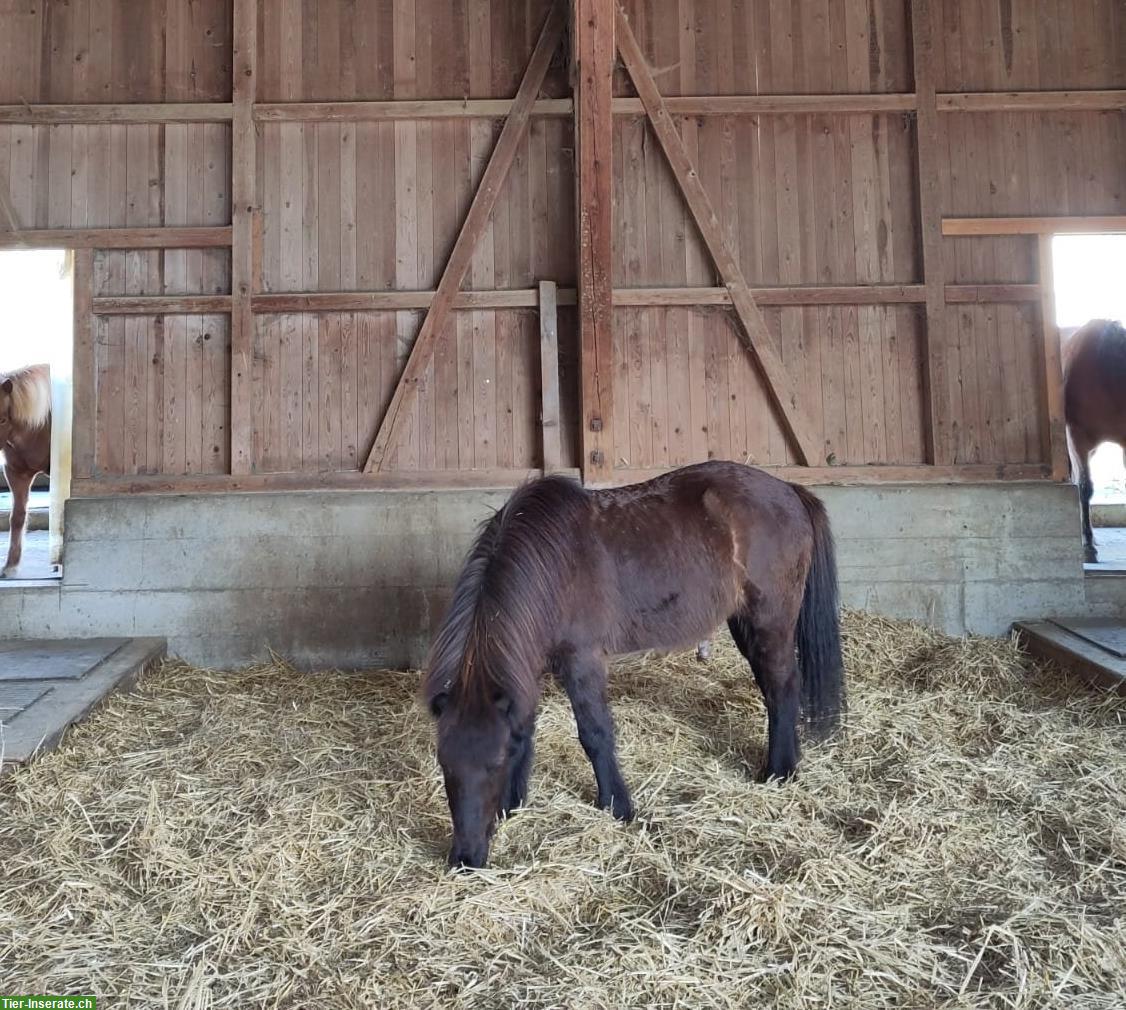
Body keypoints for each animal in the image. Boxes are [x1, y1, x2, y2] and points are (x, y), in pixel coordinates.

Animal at [423, 461, 846, 864]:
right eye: (444, 765)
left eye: (493, 764)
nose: (466, 858)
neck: (552, 566)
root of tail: (788, 490)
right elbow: (524, 730)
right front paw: (513, 805)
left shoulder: (582, 661)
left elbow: (595, 734)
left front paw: (617, 806)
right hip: (744, 623)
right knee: (775, 690)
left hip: (768, 621)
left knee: (783, 686)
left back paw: (779, 771)